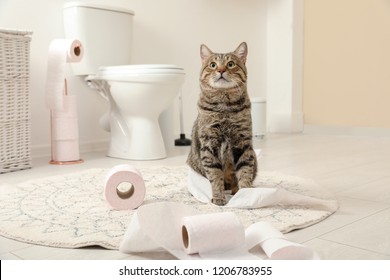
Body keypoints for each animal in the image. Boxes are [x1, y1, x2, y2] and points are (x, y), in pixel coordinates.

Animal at [187, 41, 258, 206]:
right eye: (213, 65)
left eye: (230, 64)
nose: (220, 70)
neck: (224, 107)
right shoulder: (209, 145)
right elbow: (215, 175)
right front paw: (218, 197)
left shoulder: (243, 143)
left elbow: (245, 172)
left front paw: (245, 195)